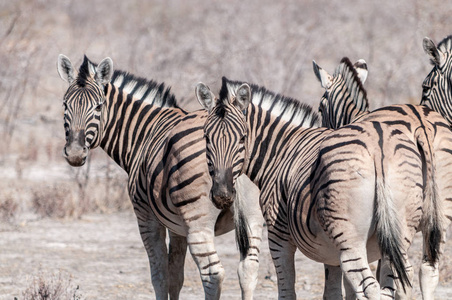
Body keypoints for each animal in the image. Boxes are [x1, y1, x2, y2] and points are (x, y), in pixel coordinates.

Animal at [57, 55, 264, 298]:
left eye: (98, 106)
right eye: (65, 105)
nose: (74, 154)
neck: (145, 132)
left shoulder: (147, 217)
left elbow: (159, 276)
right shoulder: (177, 227)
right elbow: (175, 276)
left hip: (199, 223)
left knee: (213, 275)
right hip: (253, 218)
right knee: (248, 271)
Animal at [196, 77, 436, 298]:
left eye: (242, 138)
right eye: (206, 138)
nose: (222, 195)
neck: (282, 149)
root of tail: (379, 150)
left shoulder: (278, 235)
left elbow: (287, 291)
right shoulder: (330, 251)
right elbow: (334, 292)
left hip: (350, 240)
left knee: (371, 288)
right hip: (399, 234)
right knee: (403, 281)